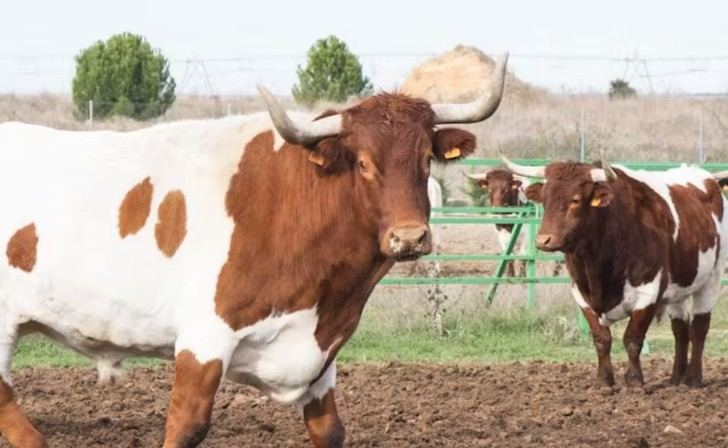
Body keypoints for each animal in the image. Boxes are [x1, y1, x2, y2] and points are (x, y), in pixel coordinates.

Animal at [0, 59, 510, 448]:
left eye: (426, 159)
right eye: (363, 163)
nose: (409, 237)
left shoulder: (319, 356)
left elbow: (329, 430)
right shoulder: (203, 340)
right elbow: (186, 426)